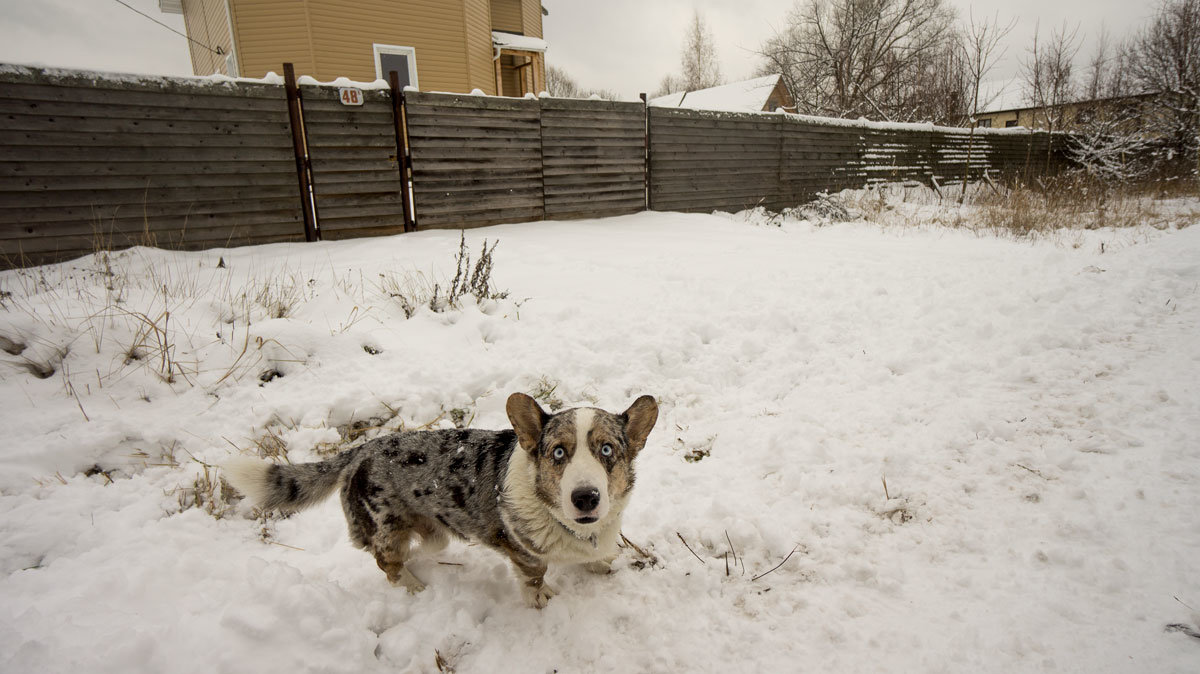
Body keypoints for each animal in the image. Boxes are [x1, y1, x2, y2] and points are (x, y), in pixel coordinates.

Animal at [224, 390, 657, 606]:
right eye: (558, 453)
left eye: (607, 450)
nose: (586, 498)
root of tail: (359, 451)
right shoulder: (524, 554)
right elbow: (535, 579)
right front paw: (541, 600)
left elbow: (599, 557)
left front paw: (602, 564)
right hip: (387, 530)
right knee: (386, 562)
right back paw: (414, 587)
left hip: (435, 532)